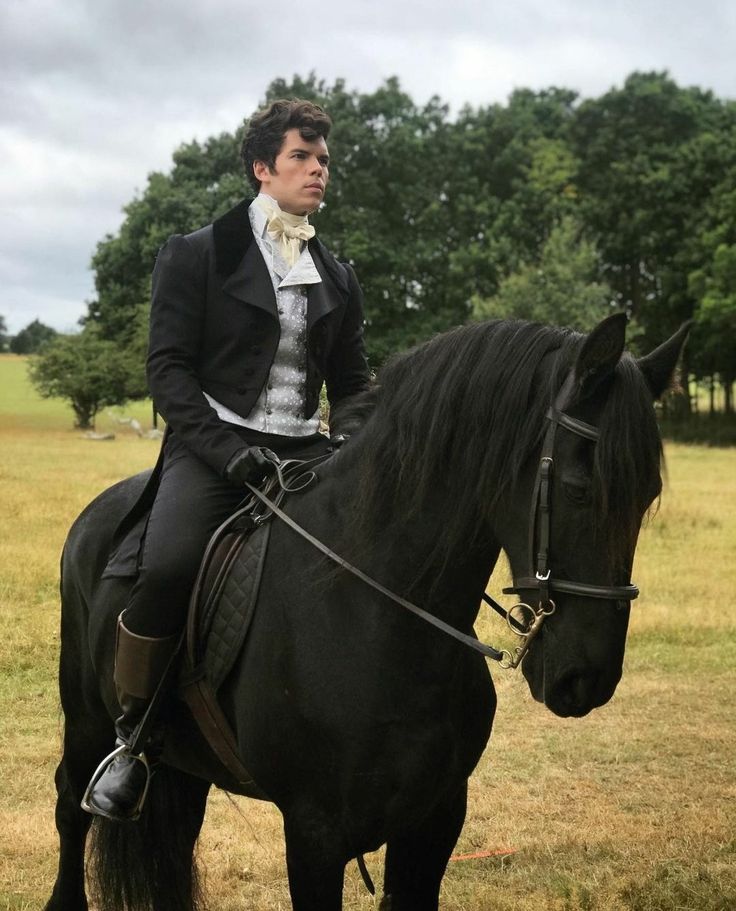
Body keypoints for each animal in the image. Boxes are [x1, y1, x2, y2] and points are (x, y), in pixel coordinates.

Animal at [43, 316, 688, 911]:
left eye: (648, 494)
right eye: (579, 487)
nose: (587, 679)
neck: (375, 617)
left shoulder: (436, 819)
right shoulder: (314, 835)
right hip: (88, 719)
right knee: (72, 804)